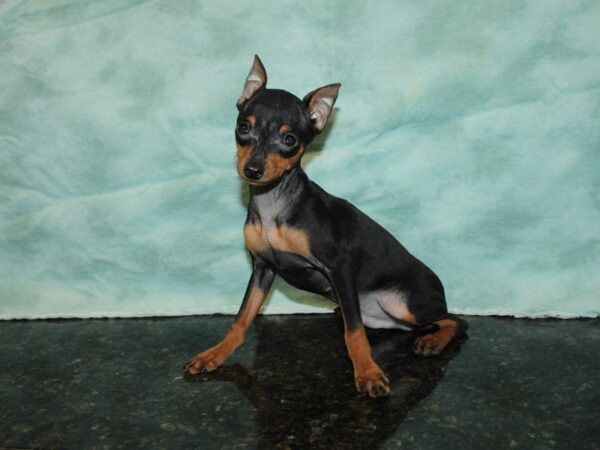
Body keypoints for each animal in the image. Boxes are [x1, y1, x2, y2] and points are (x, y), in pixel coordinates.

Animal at [185, 55, 466, 398]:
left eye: (289, 140)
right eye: (243, 127)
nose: (252, 170)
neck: (273, 204)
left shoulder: (339, 268)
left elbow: (354, 332)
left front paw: (368, 372)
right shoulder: (263, 269)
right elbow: (241, 318)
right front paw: (215, 354)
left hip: (406, 305)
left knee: (454, 319)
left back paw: (433, 340)